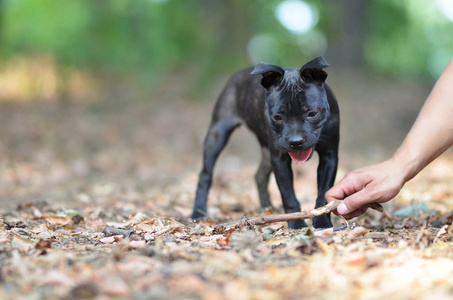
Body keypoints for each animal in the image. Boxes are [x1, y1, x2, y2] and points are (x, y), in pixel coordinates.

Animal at [192, 56, 340, 229]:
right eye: (277, 117)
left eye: (312, 114)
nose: (296, 141)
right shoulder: (279, 159)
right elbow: (288, 195)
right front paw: (297, 224)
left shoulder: (329, 157)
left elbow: (323, 192)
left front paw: (322, 222)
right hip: (217, 135)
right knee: (205, 174)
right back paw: (198, 213)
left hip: (266, 152)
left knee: (260, 176)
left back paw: (267, 210)